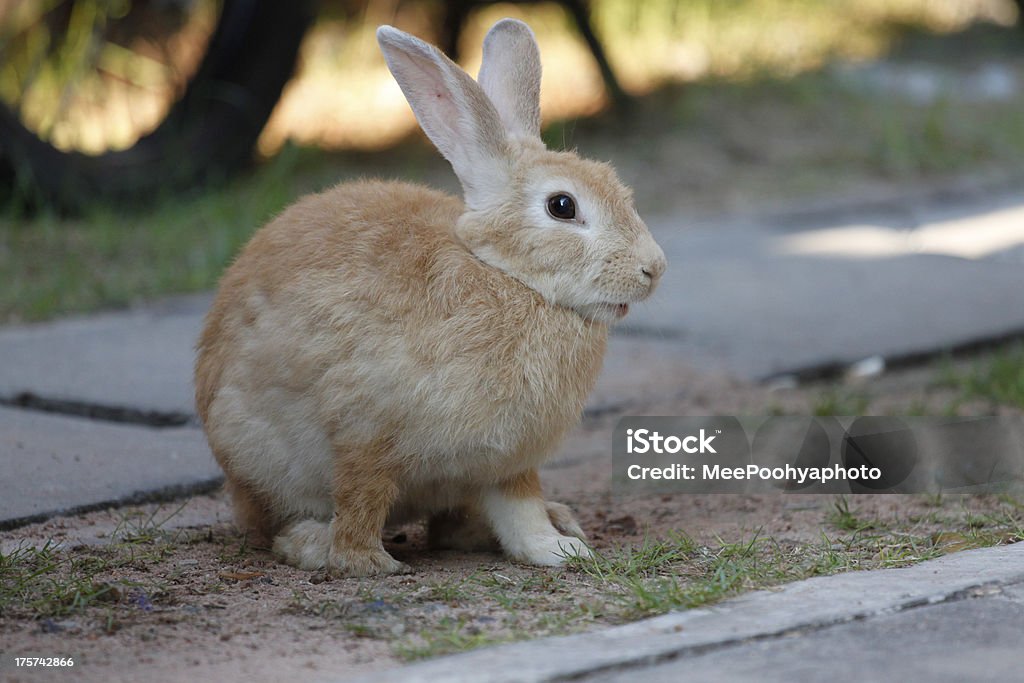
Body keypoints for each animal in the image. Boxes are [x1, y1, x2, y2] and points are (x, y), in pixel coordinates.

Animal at [194, 17, 667, 577]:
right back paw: (308, 542)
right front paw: (367, 564)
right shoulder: (362, 432)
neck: (506, 276)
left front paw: (559, 551)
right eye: (562, 206)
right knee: (278, 521)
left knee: (453, 525)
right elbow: (361, 500)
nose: (653, 269)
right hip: (260, 459)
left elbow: (521, 510)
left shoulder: (505, 461)